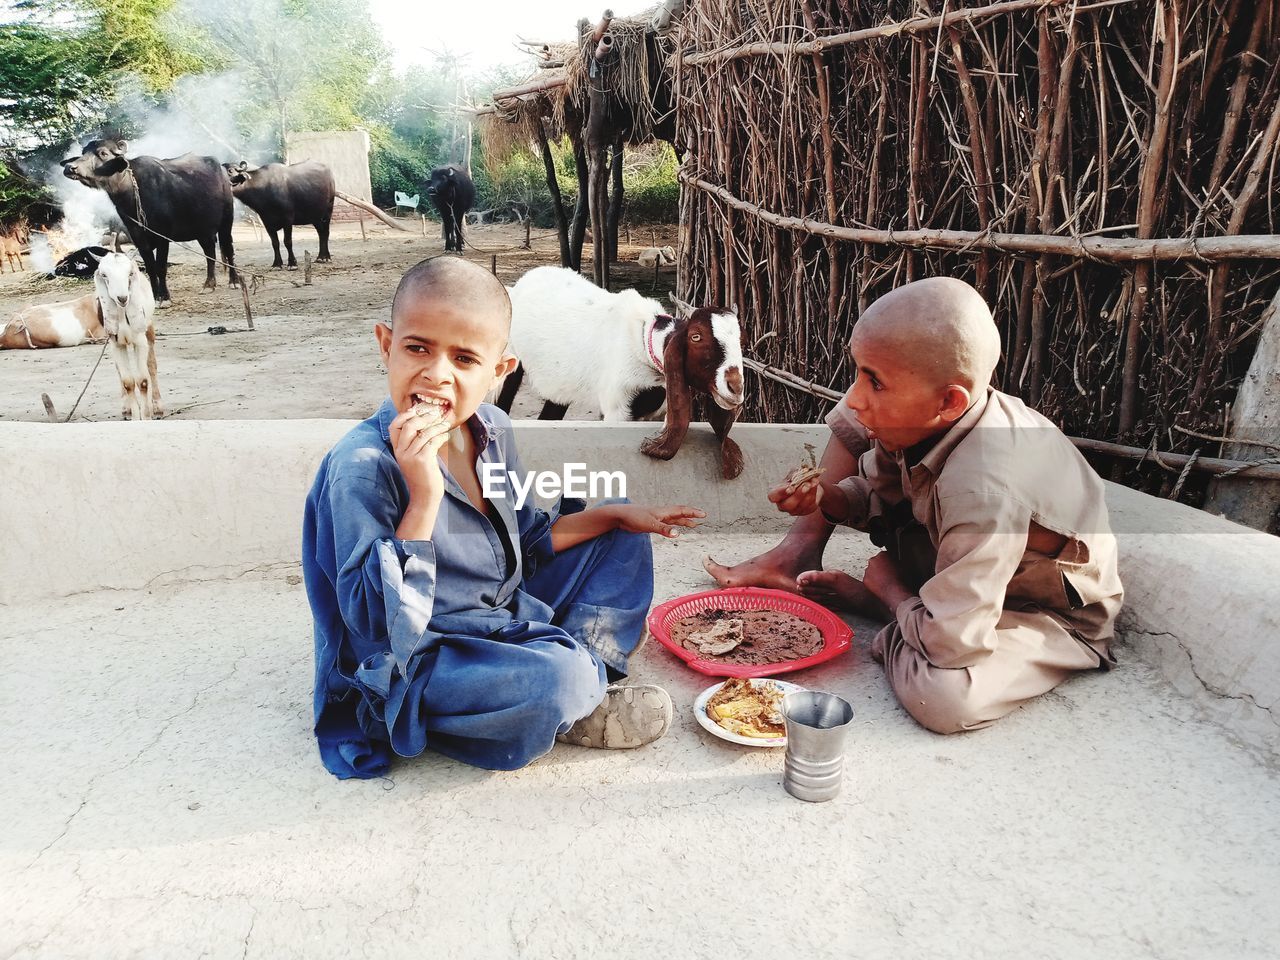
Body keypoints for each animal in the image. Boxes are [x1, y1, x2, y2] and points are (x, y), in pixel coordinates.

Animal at [60, 136, 236, 304]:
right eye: (83, 152)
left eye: (103, 153)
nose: (70, 167)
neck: (132, 193)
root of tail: (222, 171)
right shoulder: (137, 235)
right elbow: (150, 267)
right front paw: (154, 295)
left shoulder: (163, 235)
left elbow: (160, 267)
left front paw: (164, 298)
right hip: (202, 230)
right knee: (209, 252)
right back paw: (209, 284)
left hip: (227, 221)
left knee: (228, 248)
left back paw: (233, 281)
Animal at [93, 252, 161, 419]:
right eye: (104, 275)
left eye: (130, 273)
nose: (122, 298)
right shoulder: (116, 343)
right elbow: (128, 382)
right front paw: (136, 416)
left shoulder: (140, 341)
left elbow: (143, 380)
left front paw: (146, 416)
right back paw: (127, 408)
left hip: (149, 328)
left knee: (151, 366)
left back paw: (157, 406)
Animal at [494, 267, 747, 481]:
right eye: (696, 336)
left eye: (740, 340)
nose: (735, 387)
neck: (642, 342)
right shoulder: (616, 408)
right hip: (508, 362)